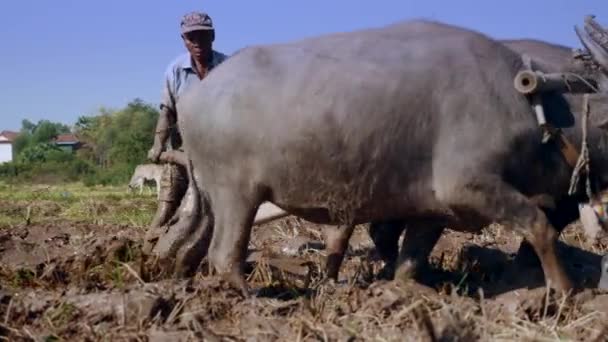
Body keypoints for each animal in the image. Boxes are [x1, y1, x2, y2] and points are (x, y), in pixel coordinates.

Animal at [160, 16, 608, 296]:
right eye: (606, 114)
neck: (530, 103)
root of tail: (195, 98)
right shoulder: (470, 185)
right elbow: (539, 226)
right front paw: (565, 290)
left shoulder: (435, 207)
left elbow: (412, 256)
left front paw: (407, 287)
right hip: (236, 194)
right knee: (224, 254)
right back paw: (250, 298)